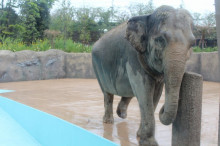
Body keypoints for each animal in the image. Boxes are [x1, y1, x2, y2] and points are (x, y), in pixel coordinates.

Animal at [92, 5, 195, 145]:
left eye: (193, 44)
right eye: (160, 40)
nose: (163, 109)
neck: (148, 17)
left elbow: (156, 94)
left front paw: (140, 136)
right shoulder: (133, 56)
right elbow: (144, 90)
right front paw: (148, 142)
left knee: (127, 93)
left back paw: (122, 114)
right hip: (97, 67)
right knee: (107, 94)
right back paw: (108, 121)